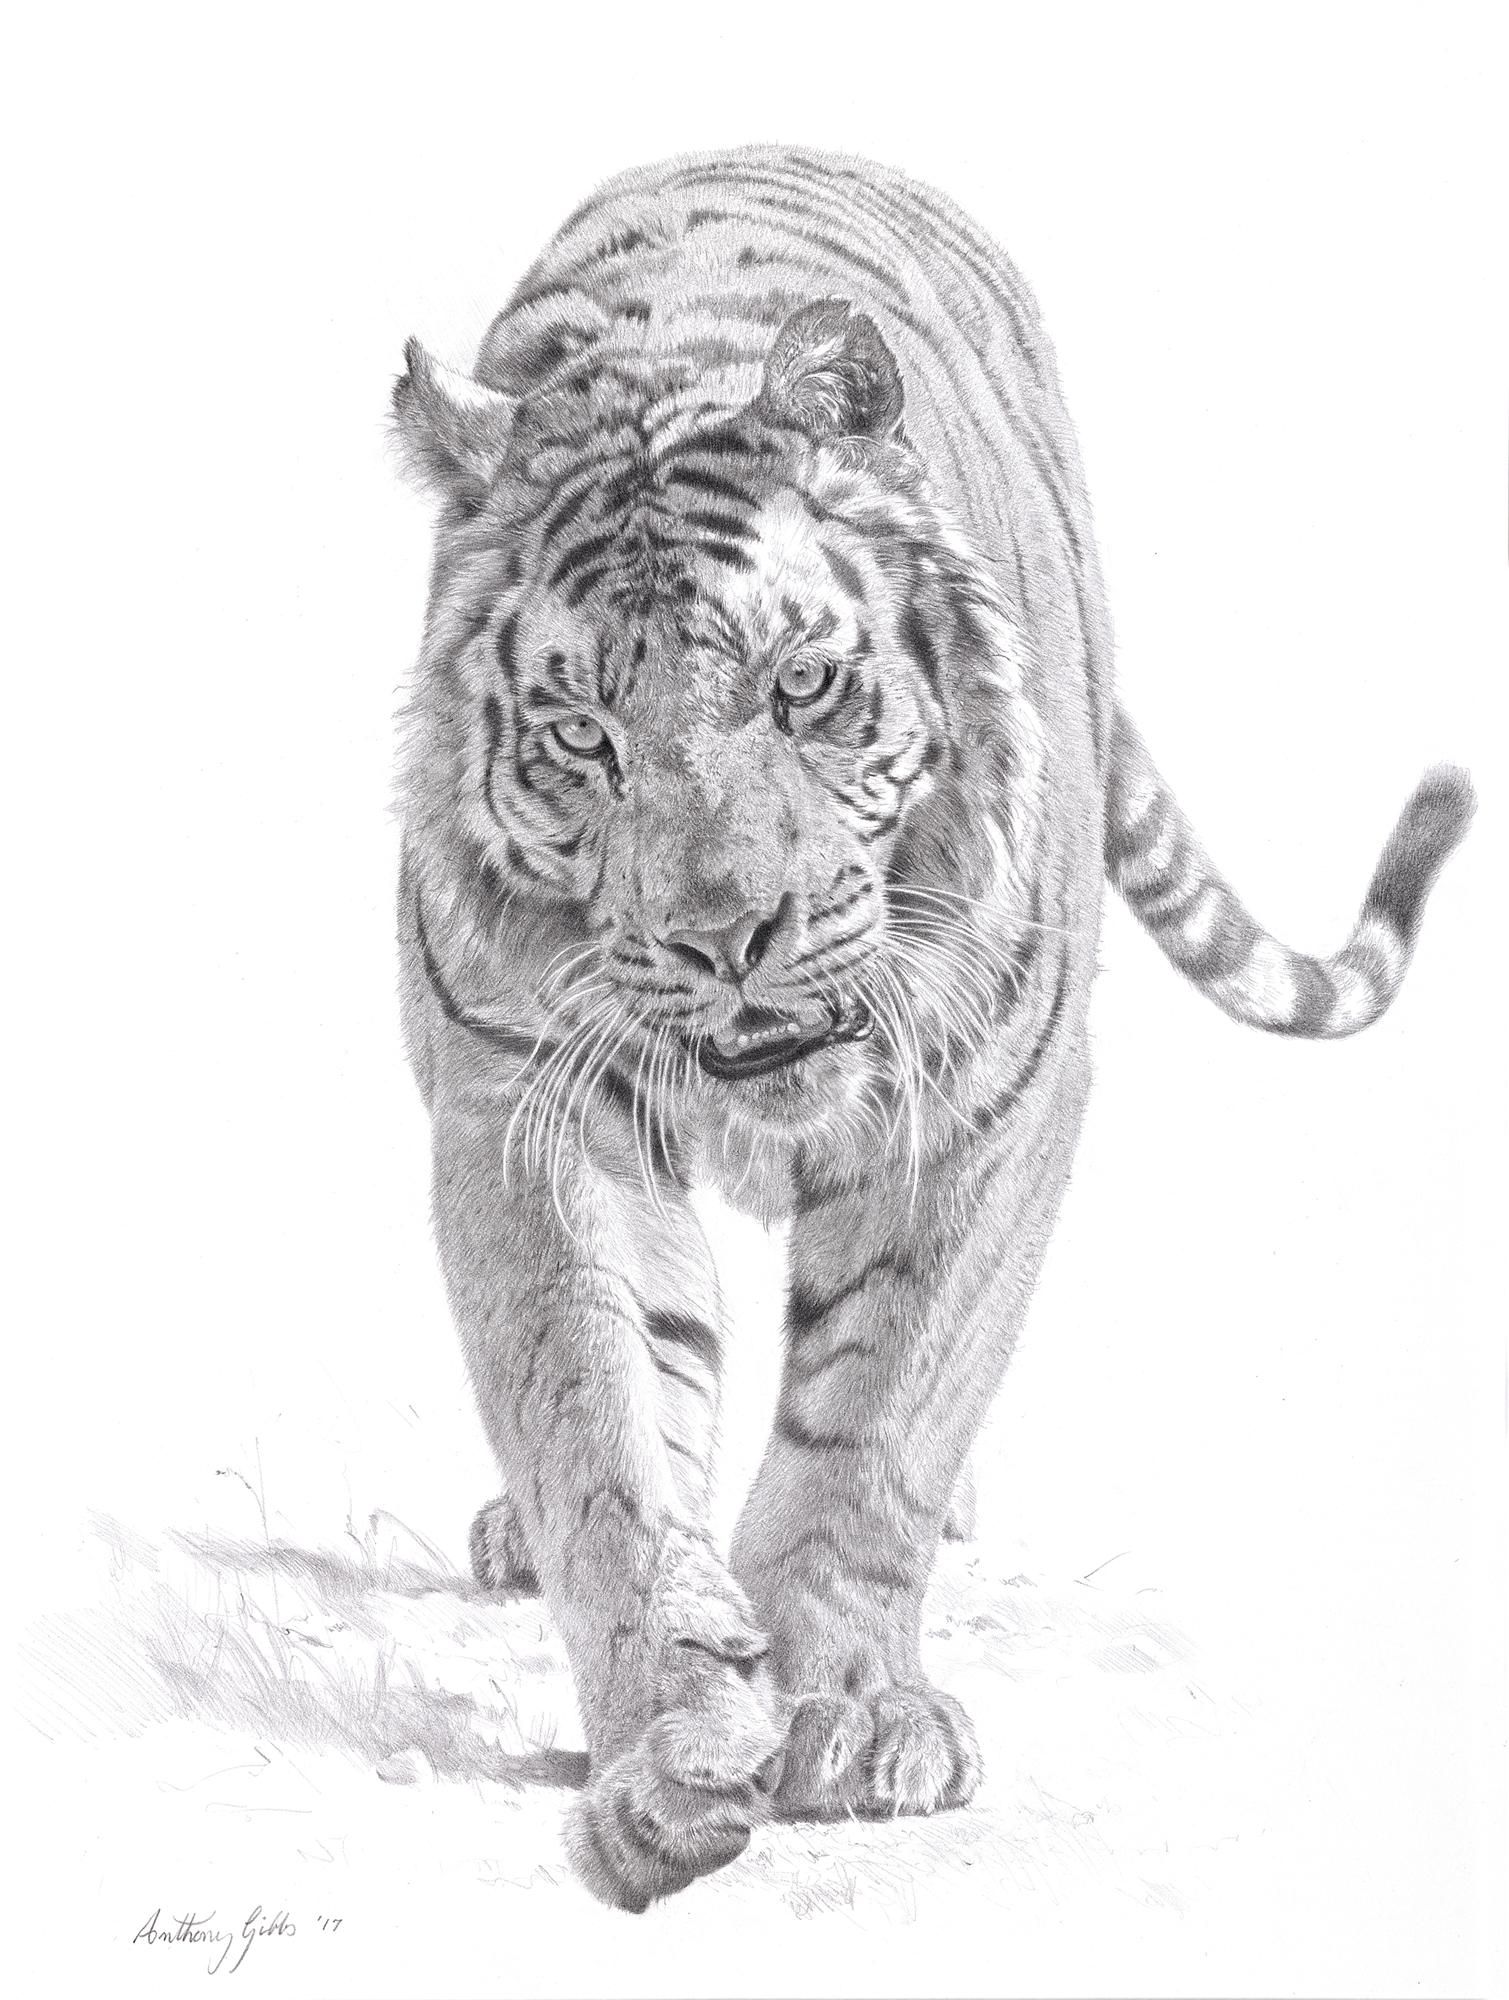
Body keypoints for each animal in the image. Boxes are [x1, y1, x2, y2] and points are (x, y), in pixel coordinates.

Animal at [390, 144, 1472, 1911]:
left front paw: (846, 1713)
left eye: (800, 687)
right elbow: (603, 1432)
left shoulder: (987, 1109)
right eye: (581, 737)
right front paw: (671, 1755)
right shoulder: (525, 1110)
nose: (725, 935)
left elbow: (876, 1416)